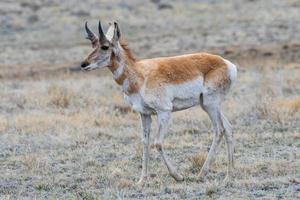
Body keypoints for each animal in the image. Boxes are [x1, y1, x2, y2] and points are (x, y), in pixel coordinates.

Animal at [81, 21, 237, 184]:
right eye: (93, 45)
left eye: (105, 46)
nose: (83, 64)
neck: (140, 74)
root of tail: (226, 63)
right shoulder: (144, 114)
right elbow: (145, 142)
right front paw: (142, 180)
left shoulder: (164, 112)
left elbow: (158, 143)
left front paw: (178, 176)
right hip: (210, 106)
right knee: (228, 128)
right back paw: (228, 176)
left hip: (210, 105)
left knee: (219, 130)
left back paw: (202, 174)